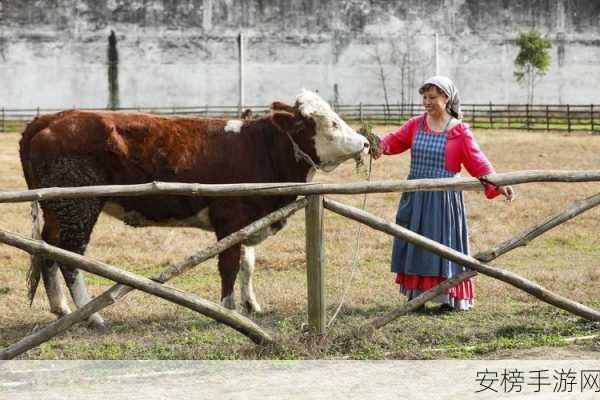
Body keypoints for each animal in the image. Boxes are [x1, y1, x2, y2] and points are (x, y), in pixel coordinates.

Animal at [18, 90, 368, 332]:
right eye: (329, 122)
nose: (365, 143)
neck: (261, 147)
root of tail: (53, 118)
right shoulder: (230, 218)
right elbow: (229, 265)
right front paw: (228, 310)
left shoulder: (249, 219)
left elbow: (247, 264)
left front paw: (251, 304)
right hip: (79, 207)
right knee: (70, 258)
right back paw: (93, 316)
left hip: (58, 210)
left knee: (47, 252)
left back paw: (62, 309)